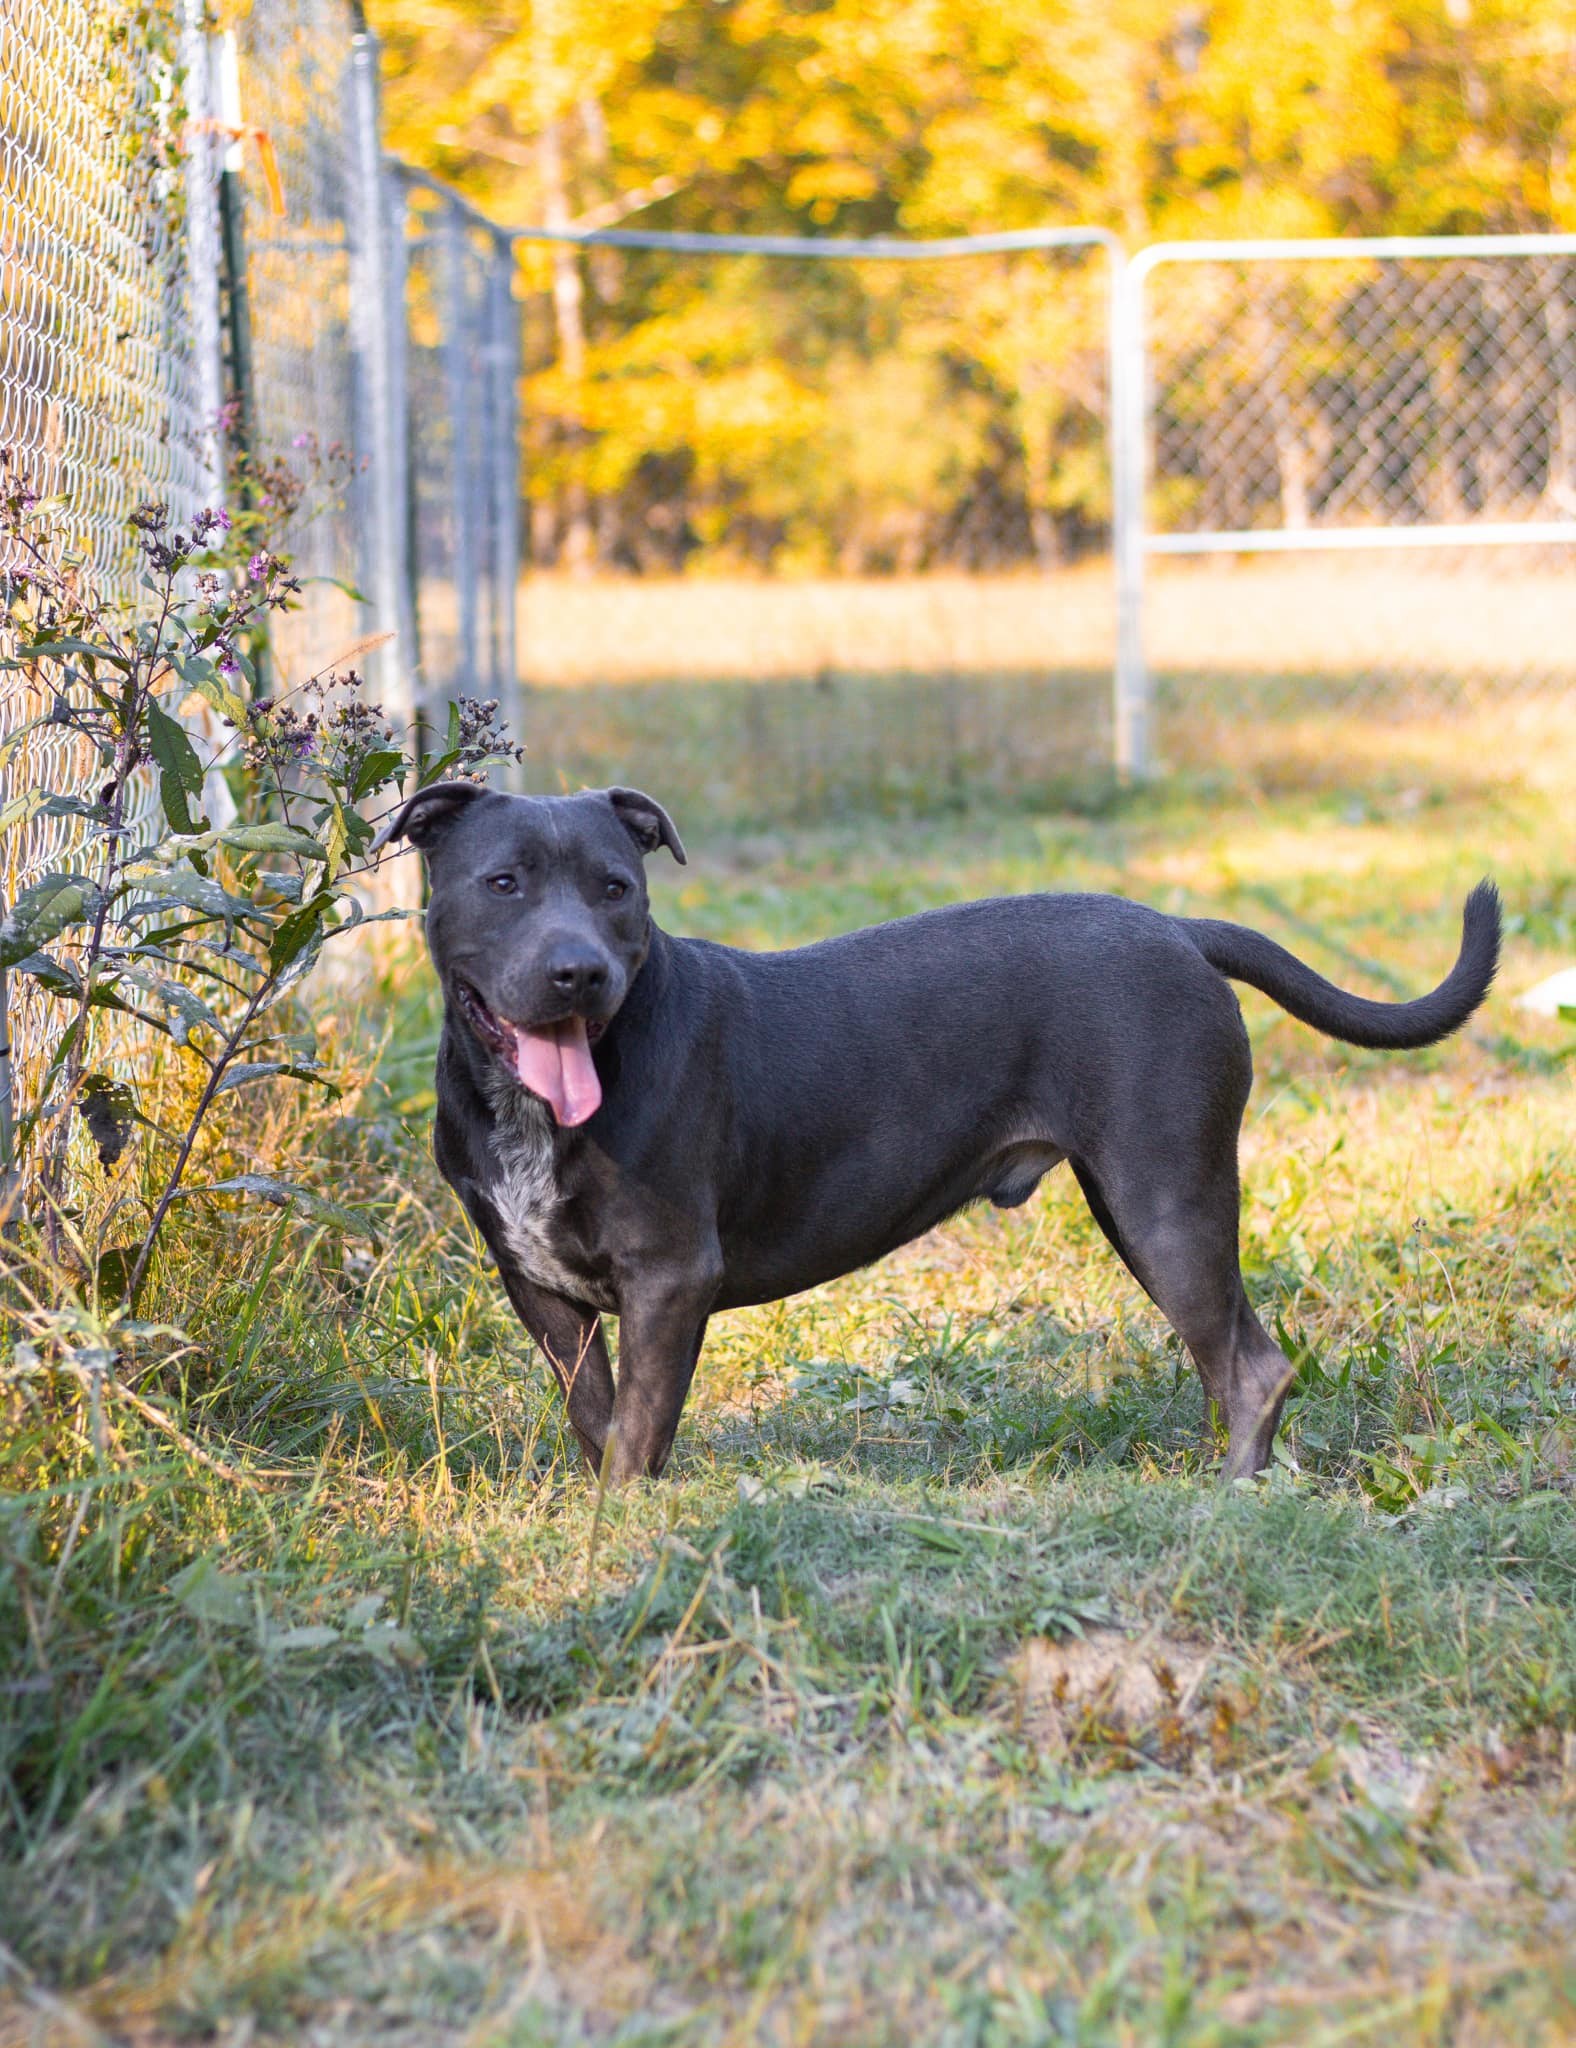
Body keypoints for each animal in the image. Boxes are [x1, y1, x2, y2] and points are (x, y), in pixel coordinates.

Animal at [386, 774, 1490, 1482]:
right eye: (503, 883)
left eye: (616, 889)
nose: (578, 971)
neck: (538, 1107)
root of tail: (1179, 927)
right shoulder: (538, 1282)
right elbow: (598, 1414)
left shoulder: (669, 1276)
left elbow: (635, 1431)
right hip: (1144, 1209)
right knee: (1225, 1352)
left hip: (1166, 1198)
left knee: (1252, 1365)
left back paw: (1227, 1499)